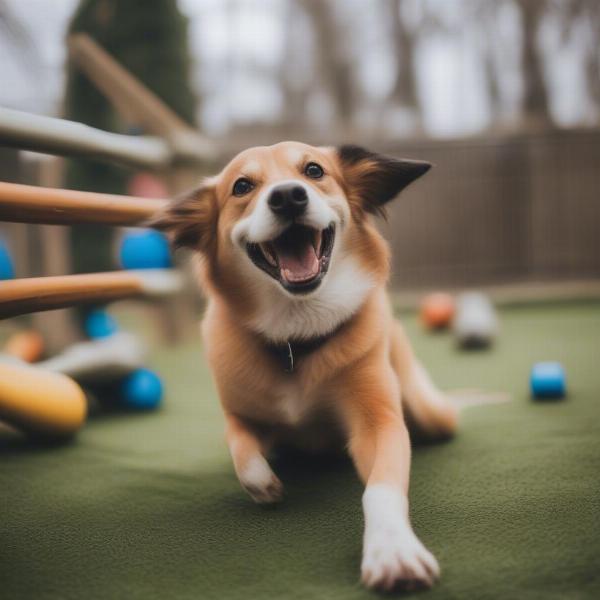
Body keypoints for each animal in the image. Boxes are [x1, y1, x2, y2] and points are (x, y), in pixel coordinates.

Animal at [149, 141, 454, 592]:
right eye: (242, 186)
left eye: (314, 171)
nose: (287, 197)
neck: (298, 335)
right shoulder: (239, 417)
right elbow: (242, 450)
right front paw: (265, 486)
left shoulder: (379, 424)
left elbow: (380, 489)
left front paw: (392, 550)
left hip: (430, 413)